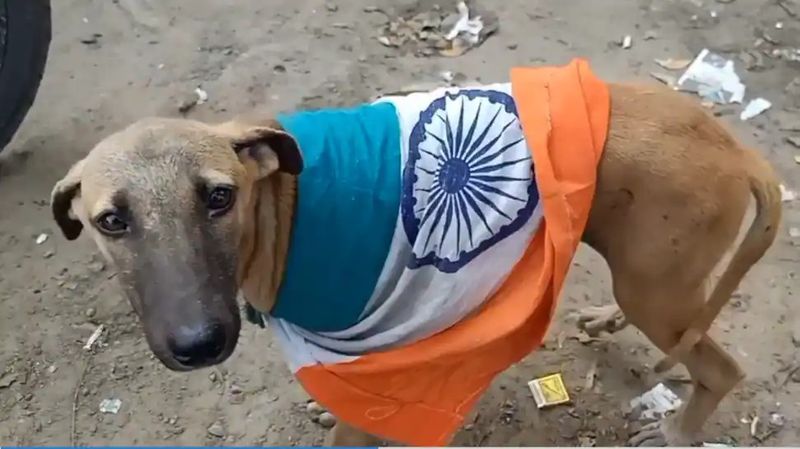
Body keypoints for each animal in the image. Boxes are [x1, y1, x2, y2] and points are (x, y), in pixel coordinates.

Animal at [51, 59, 780, 444]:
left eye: (218, 197)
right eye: (111, 220)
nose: (198, 342)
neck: (279, 212)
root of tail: (738, 151)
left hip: (656, 285)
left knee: (721, 369)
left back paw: (680, 430)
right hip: (652, 276)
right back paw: (605, 321)